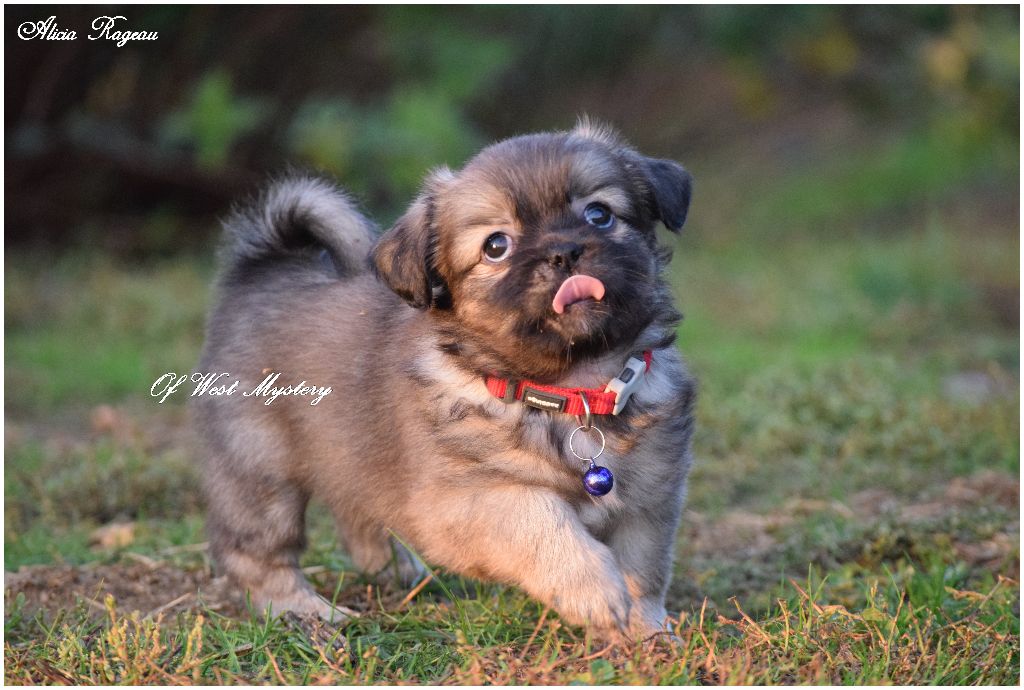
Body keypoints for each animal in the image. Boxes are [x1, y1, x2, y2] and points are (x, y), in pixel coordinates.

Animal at [194, 121, 696, 641]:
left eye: (599, 215)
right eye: (496, 246)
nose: (563, 251)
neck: (570, 388)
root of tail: (265, 268)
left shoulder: (650, 500)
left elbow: (645, 571)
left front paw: (648, 633)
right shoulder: (465, 503)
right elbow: (540, 516)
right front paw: (593, 590)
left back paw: (392, 568)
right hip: (260, 468)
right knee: (255, 555)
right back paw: (303, 610)